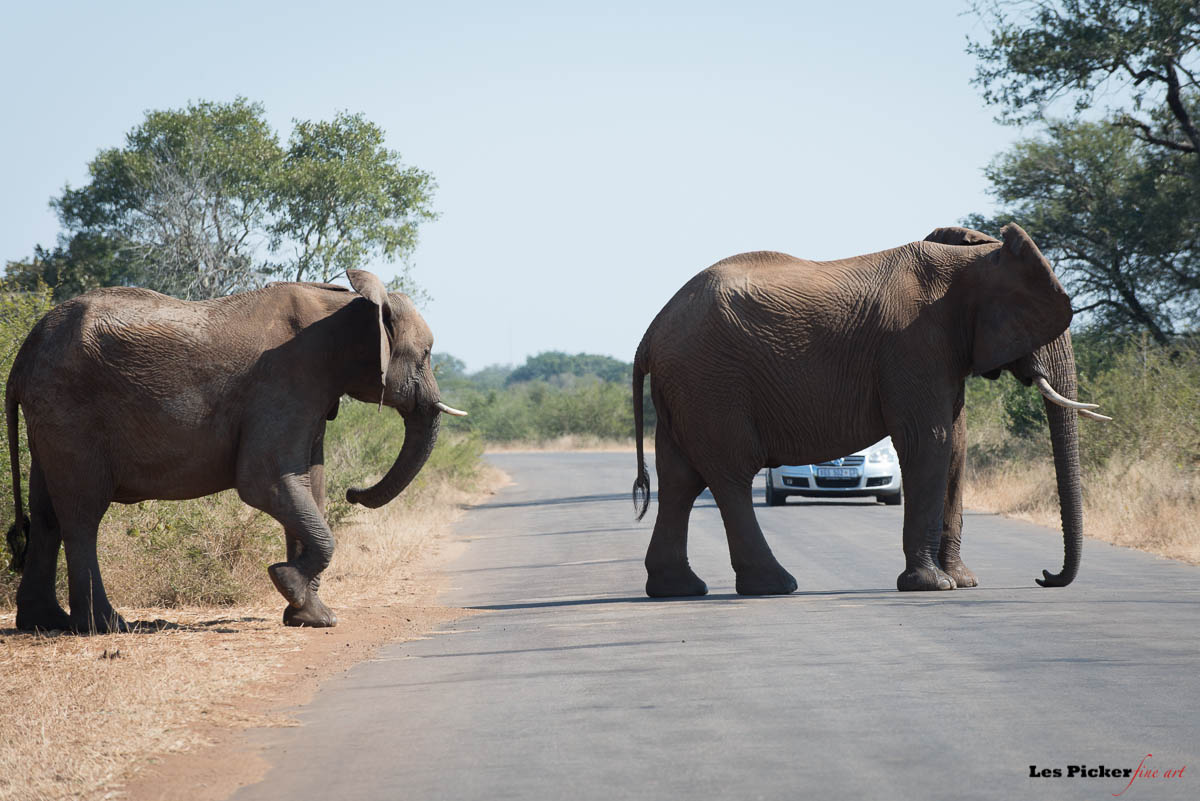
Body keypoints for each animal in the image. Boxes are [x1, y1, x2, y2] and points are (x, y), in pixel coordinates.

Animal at [4, 268, 463, 633]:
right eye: (425, 355)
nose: (354, 493)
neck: (346, 303)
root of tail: (24, 351)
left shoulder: (313, 390)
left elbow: (309, 485)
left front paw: (310, 615)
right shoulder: (286, 379)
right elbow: (266, 482)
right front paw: (287, 582)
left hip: (51, 414)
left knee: (47, 515)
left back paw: (45, 622)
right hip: (71, 410)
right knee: (82, 514)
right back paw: (106, 625)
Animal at [633, 224, 1108, 594]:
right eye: (1034, 326)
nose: (1045, 576)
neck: (970, 259)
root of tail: (651, 331)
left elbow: (956, 447)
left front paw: (963, 582)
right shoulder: (914, 342)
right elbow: (929, 441)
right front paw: (933, 585)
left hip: (686, 388)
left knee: (679, 478)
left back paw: (678, 589)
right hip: (710, 382)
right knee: (729, 475)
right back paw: (776, 585)